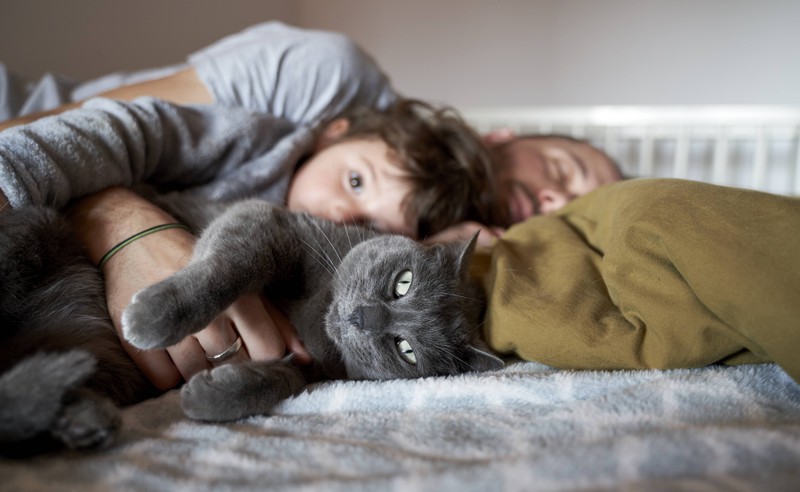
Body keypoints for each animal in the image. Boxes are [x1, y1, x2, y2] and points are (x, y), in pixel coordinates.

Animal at [0, 194, 500, 456]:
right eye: (403, 283)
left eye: (406, 350)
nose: (362, 317)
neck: (317, 313)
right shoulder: (268, 220)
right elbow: (229, 268)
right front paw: (152, 316)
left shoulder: (310, 363)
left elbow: (279, 379)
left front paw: (206, 397)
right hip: (35, 228)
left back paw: (83, 420)